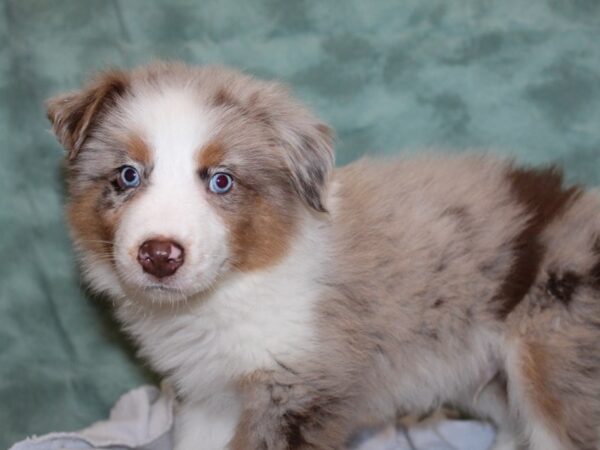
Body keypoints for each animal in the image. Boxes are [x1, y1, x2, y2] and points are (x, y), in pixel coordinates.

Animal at [48, 60, 600, 450]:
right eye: (127, 175)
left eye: (221, 180)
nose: (159, 255)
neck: (232, 287)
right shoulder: (210, 398)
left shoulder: (298, 391)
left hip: (555, 360)